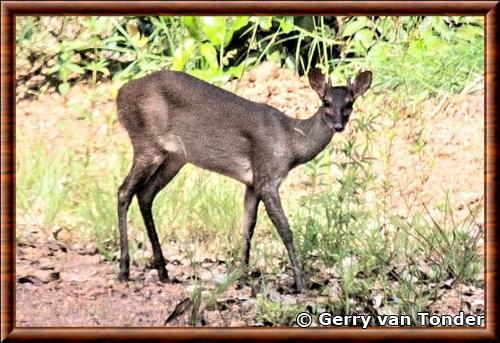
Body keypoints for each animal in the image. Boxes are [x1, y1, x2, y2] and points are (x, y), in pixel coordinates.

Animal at [115, 68, 370, 292]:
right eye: (326, 101)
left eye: (349, 103)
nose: (338, 125)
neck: (292, 142)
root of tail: (120, 93)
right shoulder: (267, 178)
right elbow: (285, 230)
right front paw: (300, 283)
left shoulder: (252, 184)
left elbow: (248, 227)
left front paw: (243, 275)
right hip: (147, 142)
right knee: (124, 191)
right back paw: (124, 270)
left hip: (175, 157)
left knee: (145, 194)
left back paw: (163, 271)